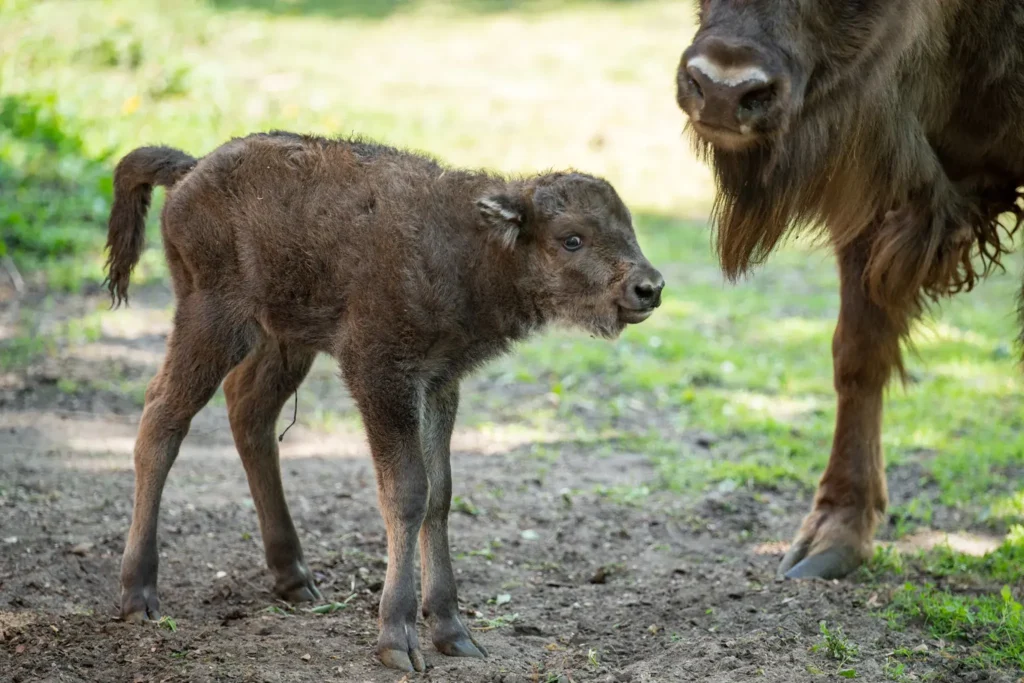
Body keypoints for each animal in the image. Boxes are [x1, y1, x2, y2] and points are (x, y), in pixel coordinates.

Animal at [105, 132, 663, 671]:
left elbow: (440, 493)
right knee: (162, 419)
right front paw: (398, 639)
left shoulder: (439, 383)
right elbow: (407, 492)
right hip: (214, 320)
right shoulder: (381, 376)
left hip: (285, 341)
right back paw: (139, 595)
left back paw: (294, 578)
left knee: (249, 413)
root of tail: (191, 168)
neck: (473, 244)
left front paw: (454, 633)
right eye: (572, 238)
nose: (649, 288)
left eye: (628, 227)